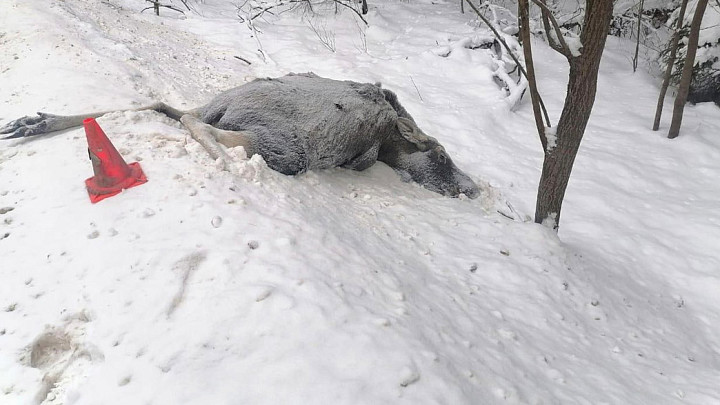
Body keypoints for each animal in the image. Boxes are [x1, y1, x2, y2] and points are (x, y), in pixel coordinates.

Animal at [4, 74, 484, 199]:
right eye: (442, 156)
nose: (472, 188)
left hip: (226, 107)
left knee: (166, 106)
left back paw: (34, 121)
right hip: (286, 146)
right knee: (193, 122)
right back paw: (224, 161)